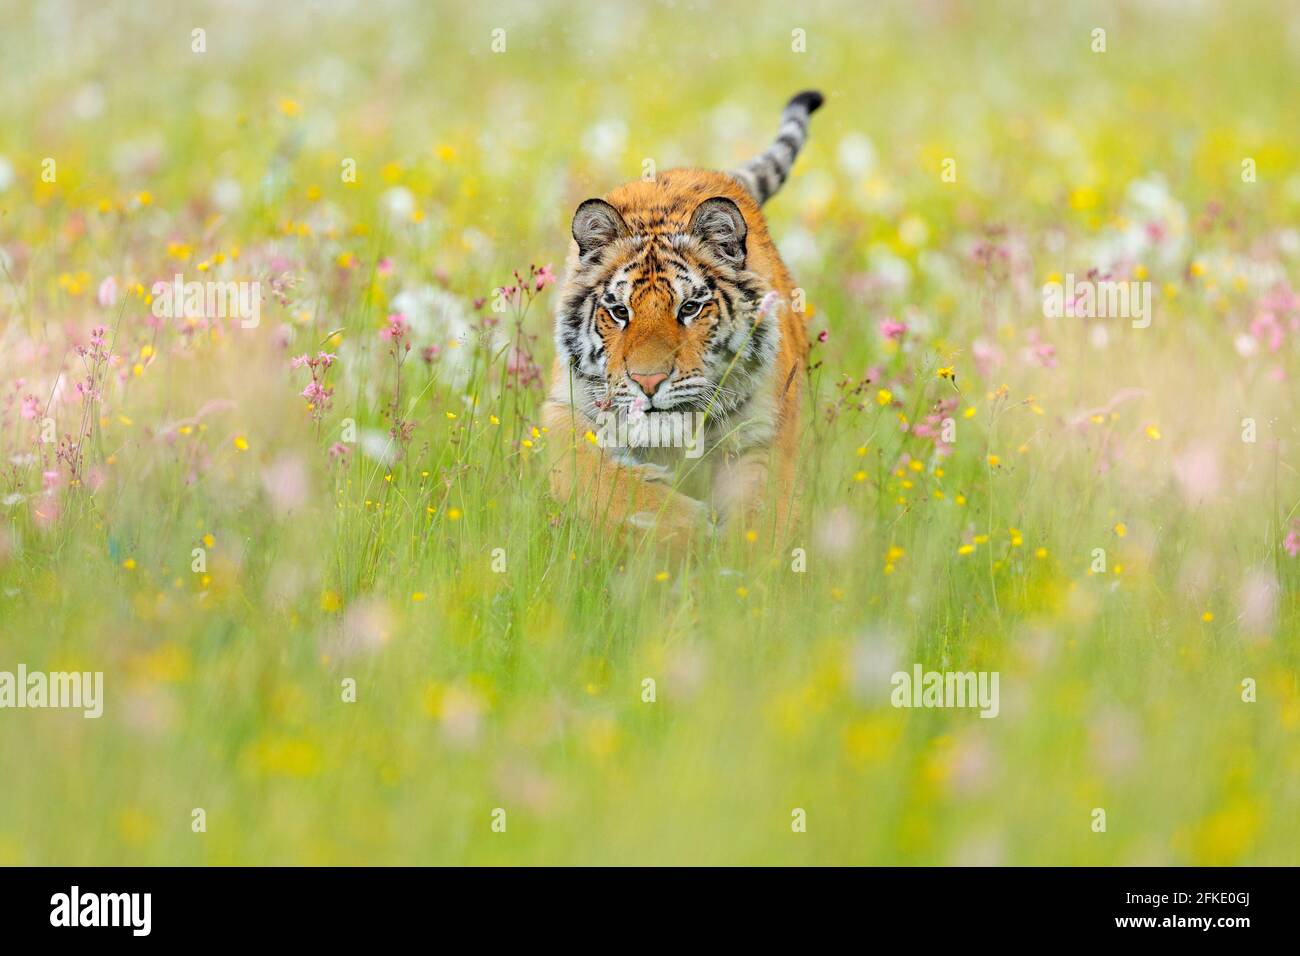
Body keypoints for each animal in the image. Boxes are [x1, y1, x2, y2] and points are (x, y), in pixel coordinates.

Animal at [542, 90, 825, 552]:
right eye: (620, 312)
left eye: (689, 308)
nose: (649, 382)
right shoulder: (564, 410)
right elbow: (597, 480)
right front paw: (686, 531)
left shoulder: (763, 432)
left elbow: (763, 517)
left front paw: (739, 560)